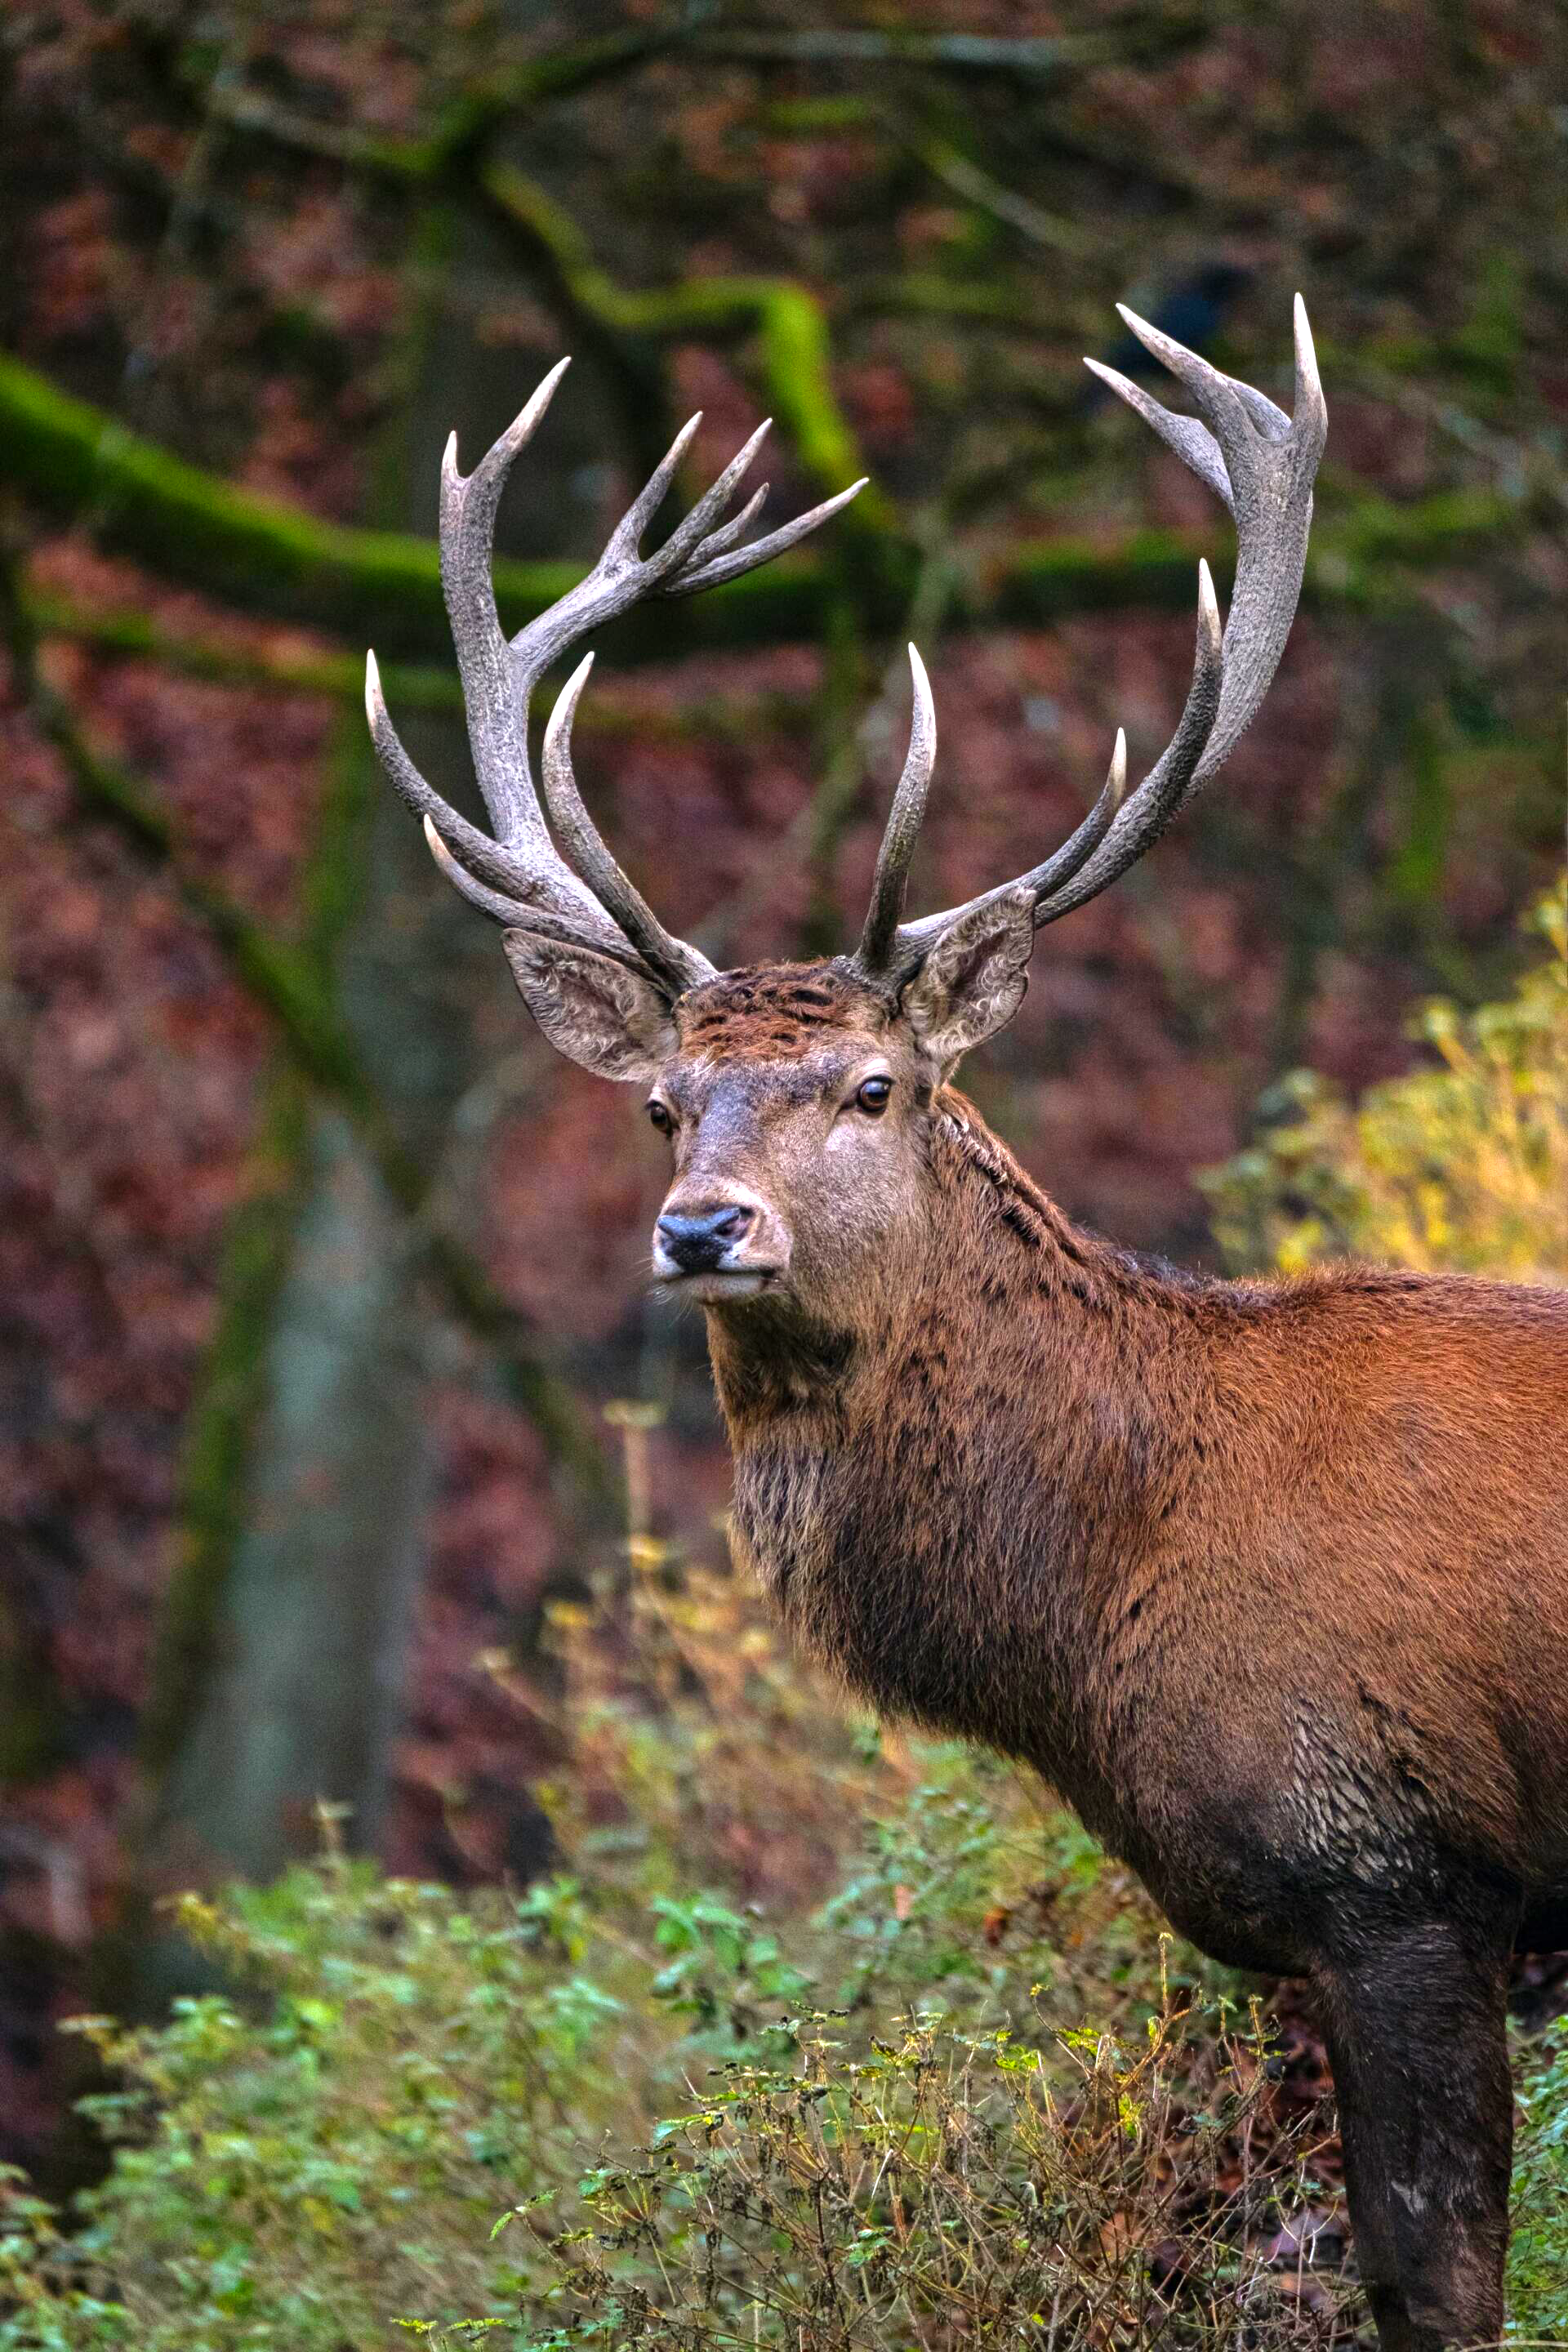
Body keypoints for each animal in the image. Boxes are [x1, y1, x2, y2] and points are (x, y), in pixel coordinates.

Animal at [365, 301, 1568, 2352]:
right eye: (661, 1105)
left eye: (869, 1085)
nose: (701, 1230)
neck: (1105, 1608)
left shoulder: (1401, 1874)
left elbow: (1436, 2284)